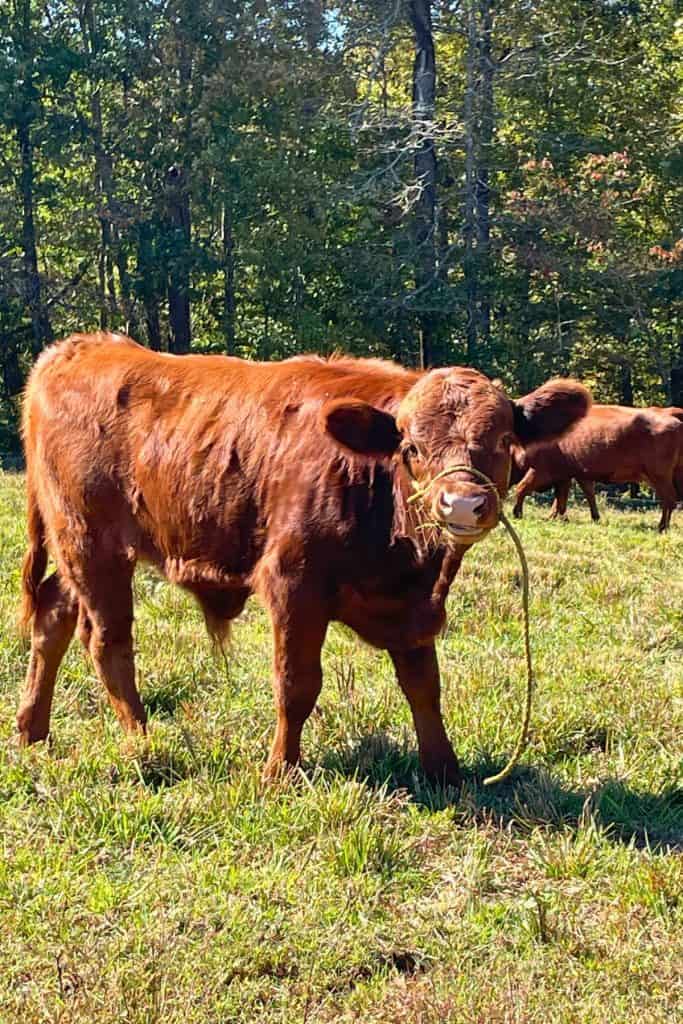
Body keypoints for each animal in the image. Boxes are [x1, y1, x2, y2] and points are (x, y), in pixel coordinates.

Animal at [18, 333, 590, 786]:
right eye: (411, 447)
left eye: (504, 438)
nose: (463, 504)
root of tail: (80, 347)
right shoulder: (294, 584)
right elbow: (297, 684)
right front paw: (280, 770)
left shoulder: (412, 606)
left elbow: (425, 686)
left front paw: (444, 769)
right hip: (93, 544)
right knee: (107, 640)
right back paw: (144, 740)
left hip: (78, 551)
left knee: (53, 615)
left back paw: (32, 731)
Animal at [511, 404, 683, 529]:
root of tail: (670, 412)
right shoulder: (575, 474)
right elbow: (577, 496)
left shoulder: (541, 470)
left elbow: (522, 488)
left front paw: (517, 513)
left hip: (658, 475)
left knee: (669, 500)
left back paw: (662, 526)